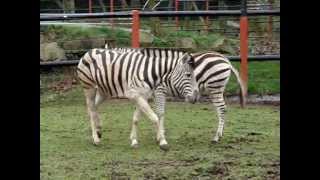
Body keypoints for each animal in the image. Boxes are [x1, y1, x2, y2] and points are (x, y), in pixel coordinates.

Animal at [105, 45, 245, 143]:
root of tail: (226, 59)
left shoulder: (159, 90)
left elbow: (159, 113)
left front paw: (159, 136)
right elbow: (143, 112)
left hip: (215, 88)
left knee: (222, 109)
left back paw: (216, 137)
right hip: (216, 90)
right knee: (220, 109)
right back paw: (219, 134)